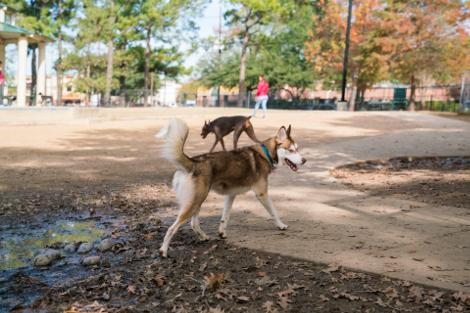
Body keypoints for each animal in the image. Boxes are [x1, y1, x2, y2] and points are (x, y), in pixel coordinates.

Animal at [156, 117, 306, 256]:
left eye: (297, 149)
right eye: (291, 150)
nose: (304, 160)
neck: (266, 153)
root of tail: (193, 162)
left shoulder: (231, 195)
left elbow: (225, 217)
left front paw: (222, 233)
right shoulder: (262, 194)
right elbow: (274, 213)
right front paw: (281, 225)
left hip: (197, 201)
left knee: (194, 224)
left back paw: (203, 237)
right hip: (195, 203)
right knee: (171, 229)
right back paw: (163, 251)